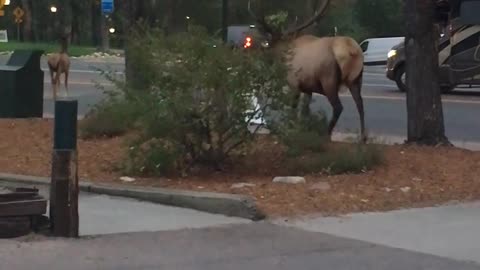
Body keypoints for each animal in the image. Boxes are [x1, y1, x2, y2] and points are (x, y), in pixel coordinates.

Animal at [249, 0, 366, 143]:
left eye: (267, 46)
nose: (262, 59)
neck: (283, 56)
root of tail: (352, 50)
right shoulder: (308, 88)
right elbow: (305, 110)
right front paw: (303, 128)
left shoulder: (294, 83)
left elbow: (293, 108)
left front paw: (292, 128)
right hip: (356, 79)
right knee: (360, 104)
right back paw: (363, 138)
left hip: (328, 79)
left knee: (338, 107)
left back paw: (326, 134)